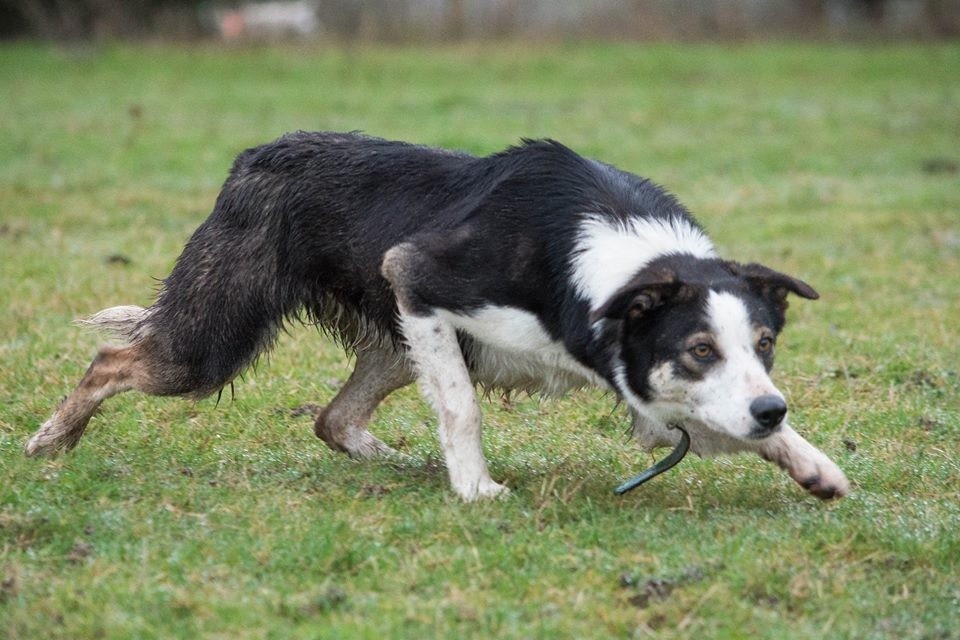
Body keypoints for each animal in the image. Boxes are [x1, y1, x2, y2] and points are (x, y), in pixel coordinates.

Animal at [24, 131, 848, 500]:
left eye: (765, 344)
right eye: (700, 348)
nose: (772, 409)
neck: (620, 262)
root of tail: (257, 155)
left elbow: (722, 427)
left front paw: (814, 466)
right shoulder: (416, 278)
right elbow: (460, 409)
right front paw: (476, 487)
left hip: (394, 348)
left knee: (332, 418)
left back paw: (395, 460)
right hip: (215, 339)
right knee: (116, 360)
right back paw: (50, 439)